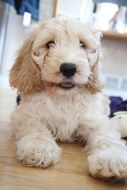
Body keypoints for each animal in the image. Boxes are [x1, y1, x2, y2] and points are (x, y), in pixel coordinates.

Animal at [9, 17, 127, 180]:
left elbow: (107, 137)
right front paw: (39, 147)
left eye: (82, 45)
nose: (69, 68)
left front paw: (111, 159)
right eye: (49, 44)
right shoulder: (25, 114)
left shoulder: (96, 120)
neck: (64, 97)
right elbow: (35, 126)